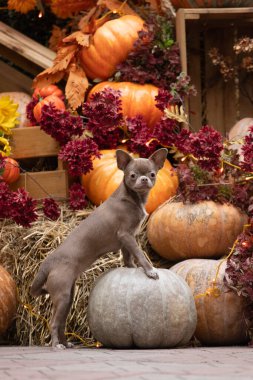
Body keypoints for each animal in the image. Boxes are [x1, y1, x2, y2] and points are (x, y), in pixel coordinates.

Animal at [30, 147, 168, 348]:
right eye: (132, 175)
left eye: (152, 174)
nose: (144, 179)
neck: (131, 198)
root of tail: (47, 263)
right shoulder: (126, 235)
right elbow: (139, 254)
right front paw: (150, 270)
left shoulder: (126, 239)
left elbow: (128, 256)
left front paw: (131, 268)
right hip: (62, 296)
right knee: (54, 322)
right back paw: (57, 344)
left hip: (67, 297)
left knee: (61, 322)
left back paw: (66, 343)